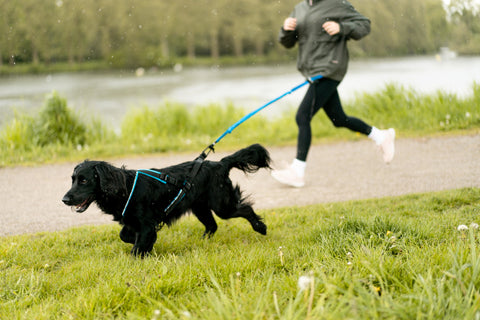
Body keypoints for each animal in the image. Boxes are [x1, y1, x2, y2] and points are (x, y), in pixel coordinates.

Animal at [61, 144, 270, 256]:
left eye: (84, 180)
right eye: (72, 179)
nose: (64, 199)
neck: (124, 187)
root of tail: (220, 164)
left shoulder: (145, 224)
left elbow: (137, 246)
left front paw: (140, 254)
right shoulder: (133, 221)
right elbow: (126, 236)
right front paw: (148, 247)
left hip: (222, 205)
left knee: (245, 209)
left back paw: (260, 227)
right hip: (200, 207)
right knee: (212, 226)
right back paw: (202, 243)